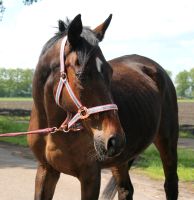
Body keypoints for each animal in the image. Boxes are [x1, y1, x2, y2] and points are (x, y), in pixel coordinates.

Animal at [27, 13, 179, 199]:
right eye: (81, 74)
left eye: (110, 71)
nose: (115, 140)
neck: (54, 130)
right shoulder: (46, 170)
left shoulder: (90, 175)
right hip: (120, 160)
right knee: (125, 189)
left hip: (167, 144)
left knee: (170, 185)